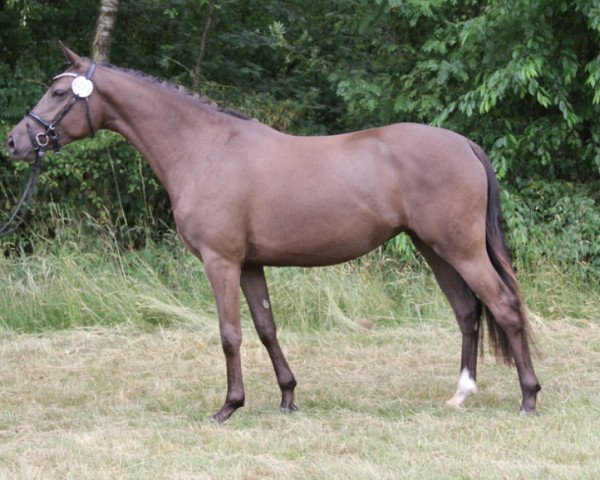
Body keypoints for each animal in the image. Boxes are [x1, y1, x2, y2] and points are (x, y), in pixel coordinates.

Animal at [5, 44, 540, 420]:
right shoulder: (251, 264)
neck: (205, 149)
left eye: (59, 93)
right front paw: (287, 397)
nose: (14, 142)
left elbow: (230, 333)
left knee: (504, 306)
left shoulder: (220, 261)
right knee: (468, 311)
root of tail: (465, 144)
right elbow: (265, 328)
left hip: (460, 248)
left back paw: (529, 398)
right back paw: (461, 395)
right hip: (433, 248)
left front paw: (229, 406)